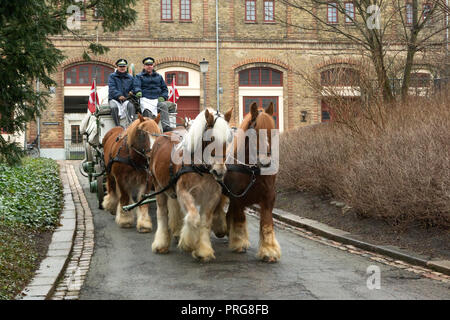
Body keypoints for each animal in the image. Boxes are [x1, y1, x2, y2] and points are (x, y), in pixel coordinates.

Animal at [150, 109, 232, 262]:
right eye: (211, 139)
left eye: (228, 140)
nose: (219, 171)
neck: (201, 168)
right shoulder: (183, 192)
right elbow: (194, 217)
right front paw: (188, 243)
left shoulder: (212, 196)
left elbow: (204, 222)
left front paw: (203, 250)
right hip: (158, 186)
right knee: (162, 213)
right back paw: (161, 244)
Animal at [220, 102, 280, 262]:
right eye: (255, 132)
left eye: (273, 132)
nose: (266, 162)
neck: (252, 170)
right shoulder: (237, 197)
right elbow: (240, 218)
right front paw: (239, 243)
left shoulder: (268, 197)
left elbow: (267, 223)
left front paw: (269, 251)